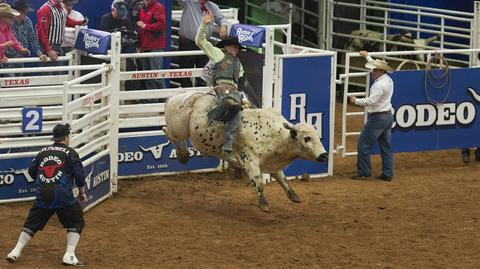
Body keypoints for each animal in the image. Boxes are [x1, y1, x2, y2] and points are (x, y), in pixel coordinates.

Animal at [163, 90, 328, 211]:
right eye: (306, 138)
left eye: (317, 137)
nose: (324, 155)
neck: (275, 135)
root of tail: (172, 98)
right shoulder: (249, 160)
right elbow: (259, 182)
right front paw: (264, 205)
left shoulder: (272, 164)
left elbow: (282, 179)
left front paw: (293, 195)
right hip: (178, 128)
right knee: (167, 132)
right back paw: (181, 153)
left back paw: (183, 154)